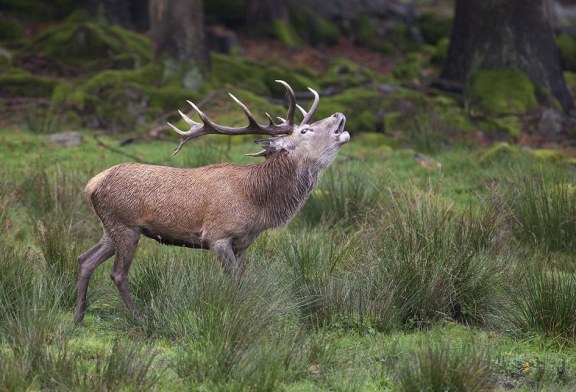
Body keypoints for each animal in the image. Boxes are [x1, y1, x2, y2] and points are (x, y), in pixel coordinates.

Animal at [74, 79, 348, 322]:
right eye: (305, 130)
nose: (338, 114)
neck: (257, 202)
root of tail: (92, 184)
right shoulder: (217, 236)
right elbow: (234, 282)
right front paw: (237, 313)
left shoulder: (243, 243)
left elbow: (242, 279)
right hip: (125, 225)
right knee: (118, 274)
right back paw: (138, 317)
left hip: (110, 228)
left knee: (85, 259)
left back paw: (78, 316)